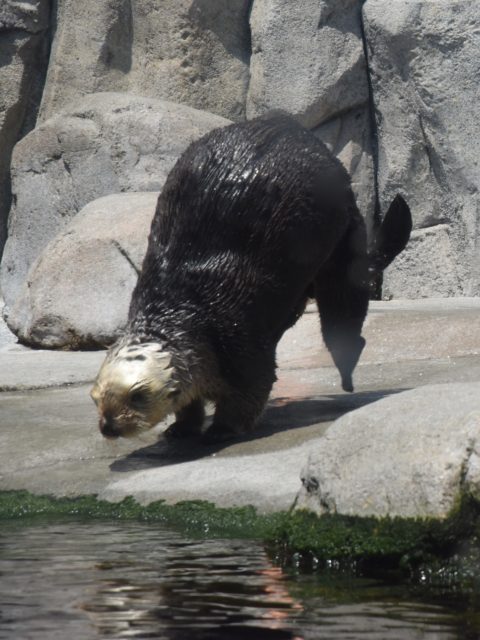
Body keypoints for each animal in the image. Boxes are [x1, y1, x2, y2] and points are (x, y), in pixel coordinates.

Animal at [91, 112, 412, 442]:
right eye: (95, 398)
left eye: (138, 396)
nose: (108, 426)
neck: (185, 308)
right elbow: (190, 402)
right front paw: (179, 429)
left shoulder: (239, 339)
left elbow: (252, 387)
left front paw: (221, 430)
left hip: (342, 235)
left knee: (343, 311)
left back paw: (347, 374)